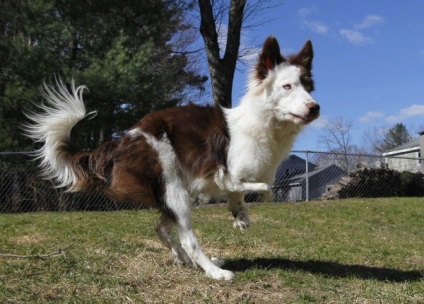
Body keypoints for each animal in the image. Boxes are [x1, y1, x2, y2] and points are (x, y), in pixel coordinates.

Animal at [24, 36, 320, 280]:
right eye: (287, 86)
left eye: (308, 87)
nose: (315, 108)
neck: (263, 123)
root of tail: (122, 141)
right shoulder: (226, 175)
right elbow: (263, 187)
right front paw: (251, 205)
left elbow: (243, 198)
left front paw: (240, 216)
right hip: (174, 189)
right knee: (187, 237)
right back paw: (213, 271)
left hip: (174, 192)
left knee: (160, 227)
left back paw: (186, 259)